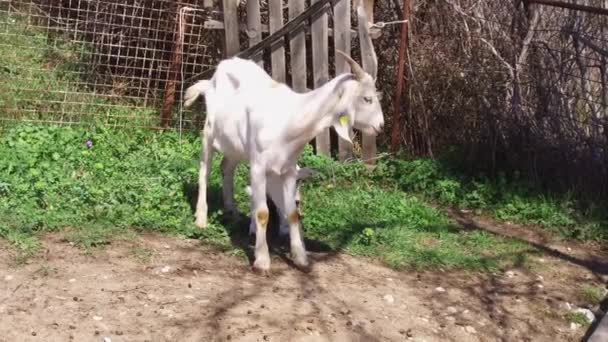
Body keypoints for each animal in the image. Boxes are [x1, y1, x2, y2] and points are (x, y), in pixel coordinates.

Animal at [183, 6, 382, 272]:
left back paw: (231, 209)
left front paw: (300, 258)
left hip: (235, 147)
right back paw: (201, 218)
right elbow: (262, 213)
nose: (380, 126)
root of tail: (215, 75)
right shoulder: (258, 167)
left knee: (227, 167)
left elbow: (292, 213)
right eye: (367, 98)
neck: (289, 119)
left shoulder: (287, 170)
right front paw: (262, 261)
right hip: (208, 132)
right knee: (204, 170)